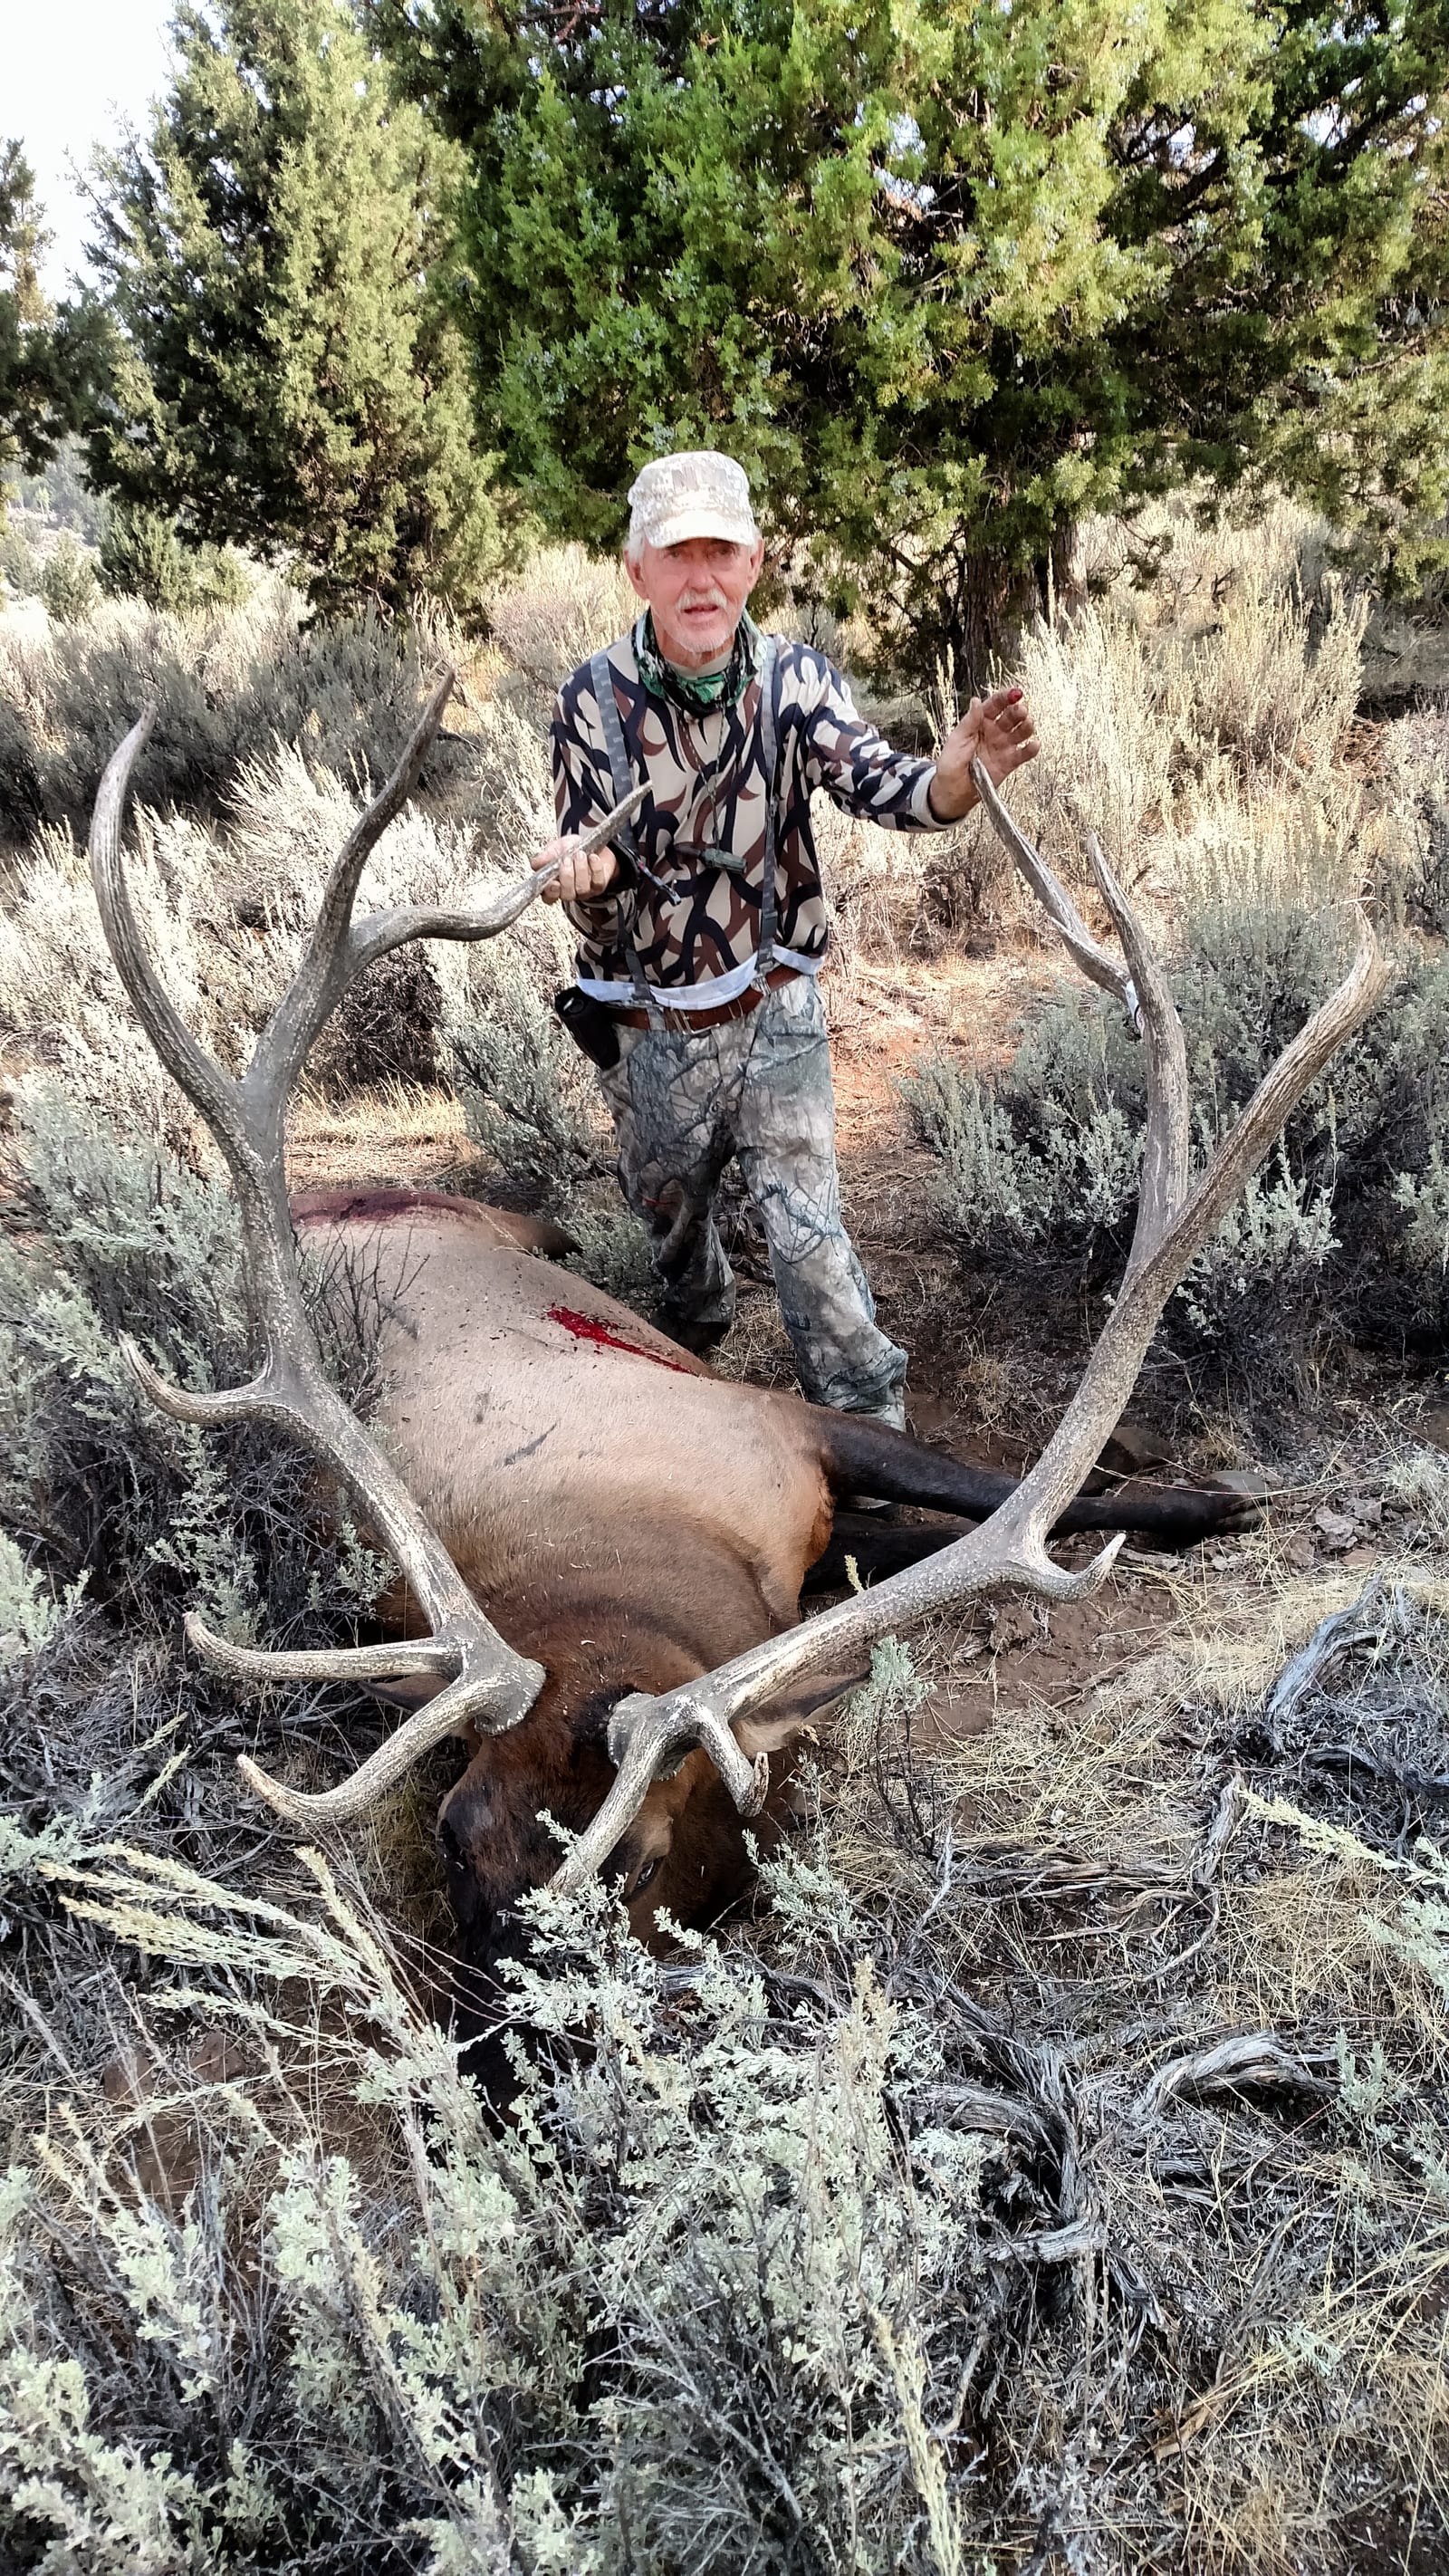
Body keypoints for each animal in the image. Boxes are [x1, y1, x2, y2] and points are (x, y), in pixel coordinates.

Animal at [89, 672, 1388, 2000]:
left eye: (637, 1865)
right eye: (455, 1840)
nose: (508, 2049)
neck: (623, 1561)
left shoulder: (781, 1424)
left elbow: (1001, 1485)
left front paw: (1214, 1499)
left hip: (514, 1223)